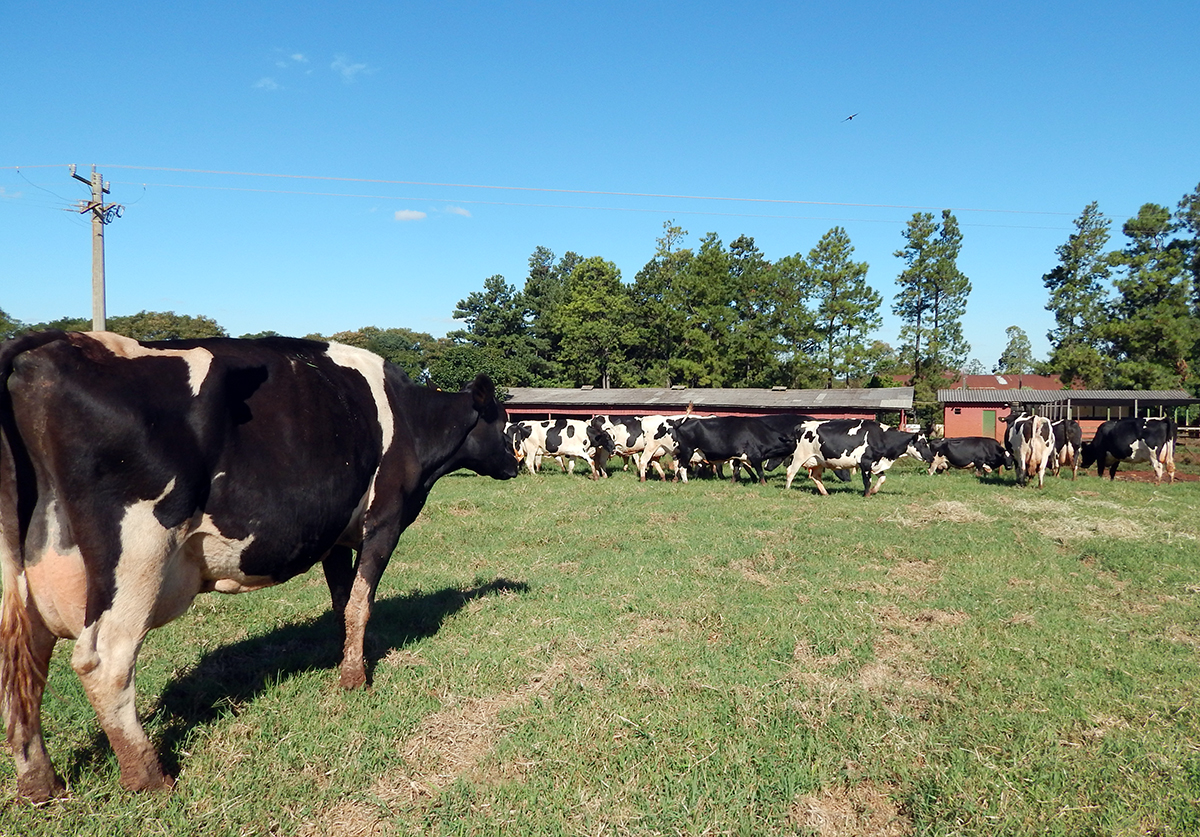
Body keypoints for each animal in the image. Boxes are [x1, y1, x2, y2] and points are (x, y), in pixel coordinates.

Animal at [0, 328, 518, 801]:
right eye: (504, 423)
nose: (515, 466)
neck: (411, 422)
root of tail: (47, 344)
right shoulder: (385, 521)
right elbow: (360, 603)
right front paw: (355, 680)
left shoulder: (332, 534)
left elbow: (342, 601)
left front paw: (347, 660)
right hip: (137, 554)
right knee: (105, 661)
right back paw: (149, 777)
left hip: (27, 571)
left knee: (23, 660)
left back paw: (40, 784)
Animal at [782, 417, 931, 496]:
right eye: (923, 443)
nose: (931, 458)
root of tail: (802, 425)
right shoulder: (865, 462)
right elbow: (867, 481)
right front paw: (866, 495)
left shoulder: (875, 463)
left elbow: (882, 478)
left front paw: (874, 491)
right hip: (799, 456)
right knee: (790, 472)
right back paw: (787, 490)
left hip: (818, 461)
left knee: (815, 476)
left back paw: (825, 493)